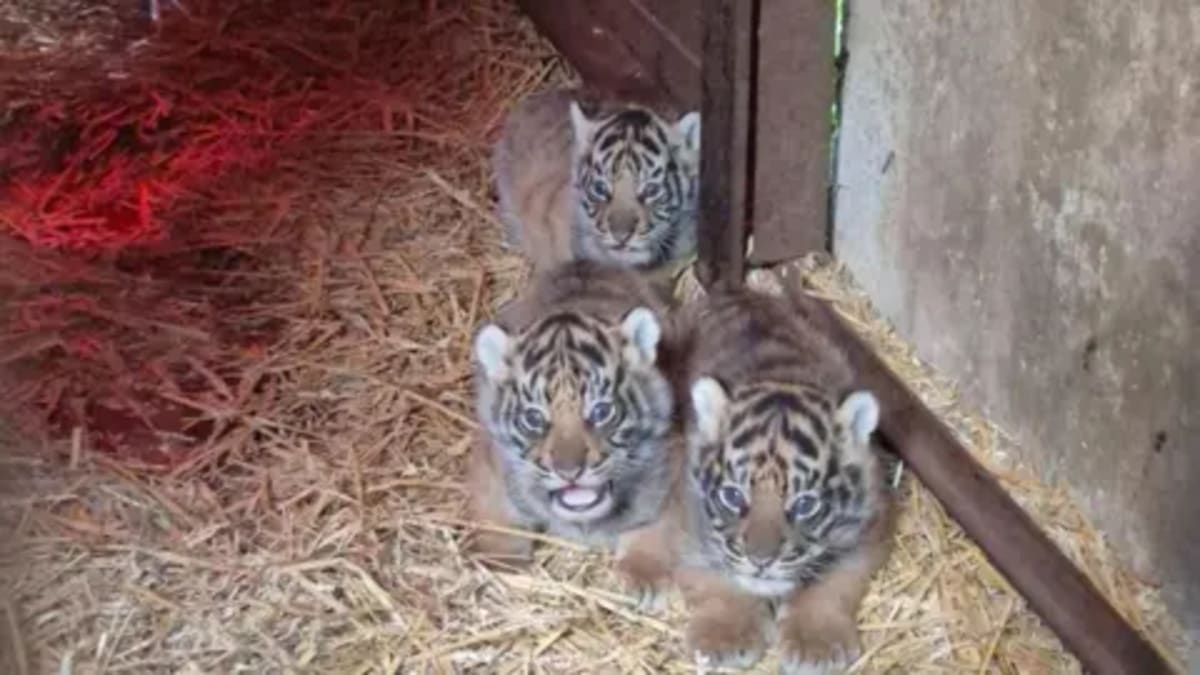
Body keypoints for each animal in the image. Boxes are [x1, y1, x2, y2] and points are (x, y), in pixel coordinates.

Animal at [465, 260, 684, 565]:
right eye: (533, 418)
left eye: (601, 411)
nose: (569, 472)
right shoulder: (491, 466)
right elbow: (496, 519)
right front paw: (498, 559)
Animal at [615, 287, 893, 674]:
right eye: (733, 496)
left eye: (805, 504)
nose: (762, 560)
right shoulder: (693, 523)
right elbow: (718, 578)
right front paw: (727, 637)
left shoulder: (867, 530)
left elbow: (832, 585)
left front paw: (815, 644)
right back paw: (643, 575)